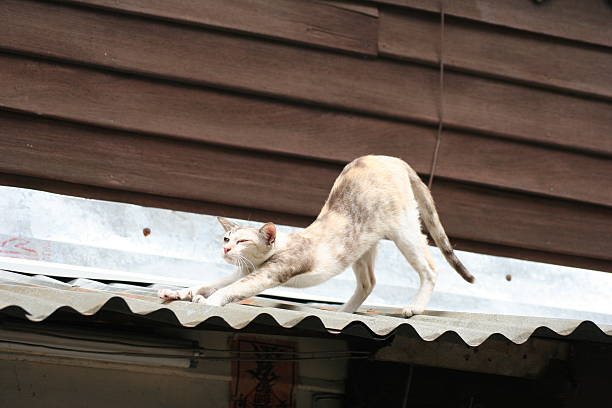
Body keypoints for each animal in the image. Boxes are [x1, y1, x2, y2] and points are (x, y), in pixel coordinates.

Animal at [159, 155, 474, 318]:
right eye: (226, 239)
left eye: (243, 241)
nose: (225, 251)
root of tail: (390, 158)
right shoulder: (243, 271)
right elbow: (211, 283)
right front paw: (180, 292)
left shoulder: (266, 274)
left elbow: (230, 290)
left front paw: (208, 303)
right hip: (362, 246)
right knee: (369, 282)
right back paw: (344, 311)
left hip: (404, 230)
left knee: (430, 268)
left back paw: (414, 307)